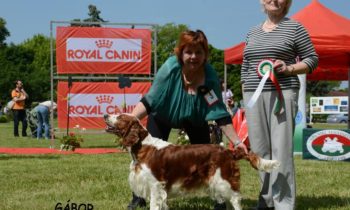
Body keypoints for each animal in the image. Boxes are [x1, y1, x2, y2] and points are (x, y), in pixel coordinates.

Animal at [104, 113, 278, 210]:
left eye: (120, 116)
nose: (105, 116)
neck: (143, 146)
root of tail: (229, 151)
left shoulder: (155, 185)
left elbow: (154, 205)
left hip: (223, 179)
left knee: (235, 199)